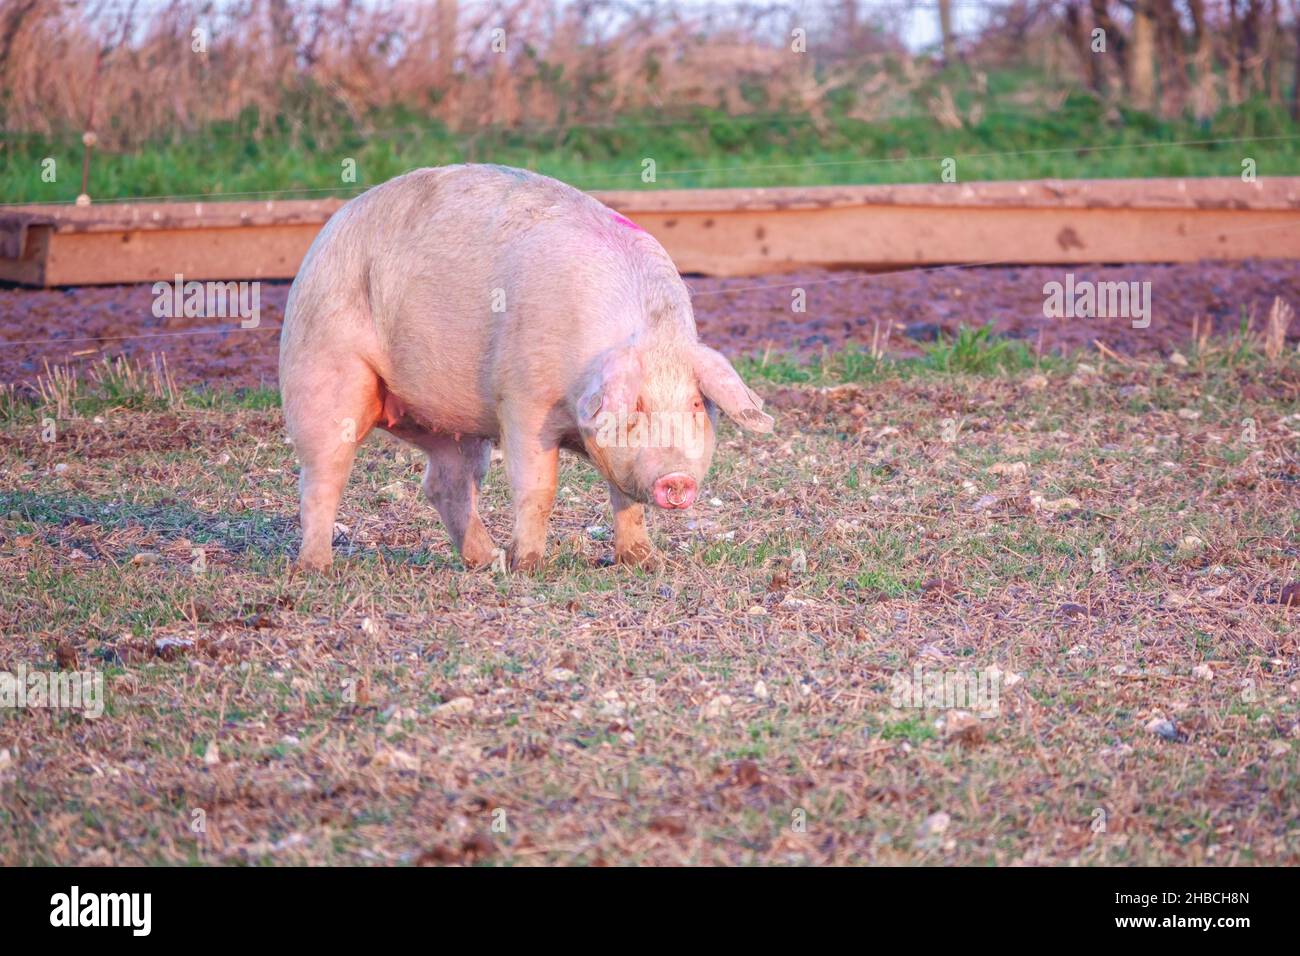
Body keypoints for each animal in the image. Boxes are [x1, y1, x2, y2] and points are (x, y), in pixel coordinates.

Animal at [279, 164, 769, 572]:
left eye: (695, 405)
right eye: (638, 407)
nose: (677, 479)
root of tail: (328, 230)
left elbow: (624, 498)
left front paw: (644, 563)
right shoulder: (522, 399)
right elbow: (538, 488)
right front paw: (529, 567)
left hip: (454, 428)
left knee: (445, 485)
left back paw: (486, 561)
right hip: (321, 367)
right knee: (322, 475)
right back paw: (318, 568)